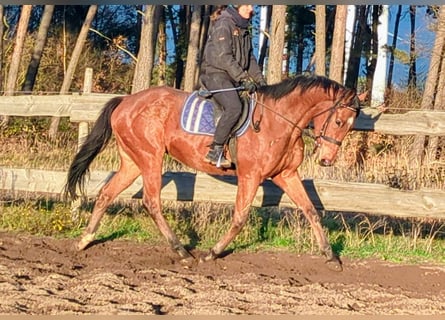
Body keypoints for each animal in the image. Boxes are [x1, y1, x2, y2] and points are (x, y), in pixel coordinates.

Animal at [64, 74, 360, 270]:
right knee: (151, 201)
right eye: (338, 121)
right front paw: (212, 253)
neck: (278, 121)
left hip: (133, 161)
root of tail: (126, 101)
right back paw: (182, 251)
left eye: (349, 126)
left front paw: (331, 256)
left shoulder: (286, 175)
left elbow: (311, 210)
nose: (327, 160)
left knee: (106, 193)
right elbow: (240, 217)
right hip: (150, 158)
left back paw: (84, 240)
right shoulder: (250, 176)